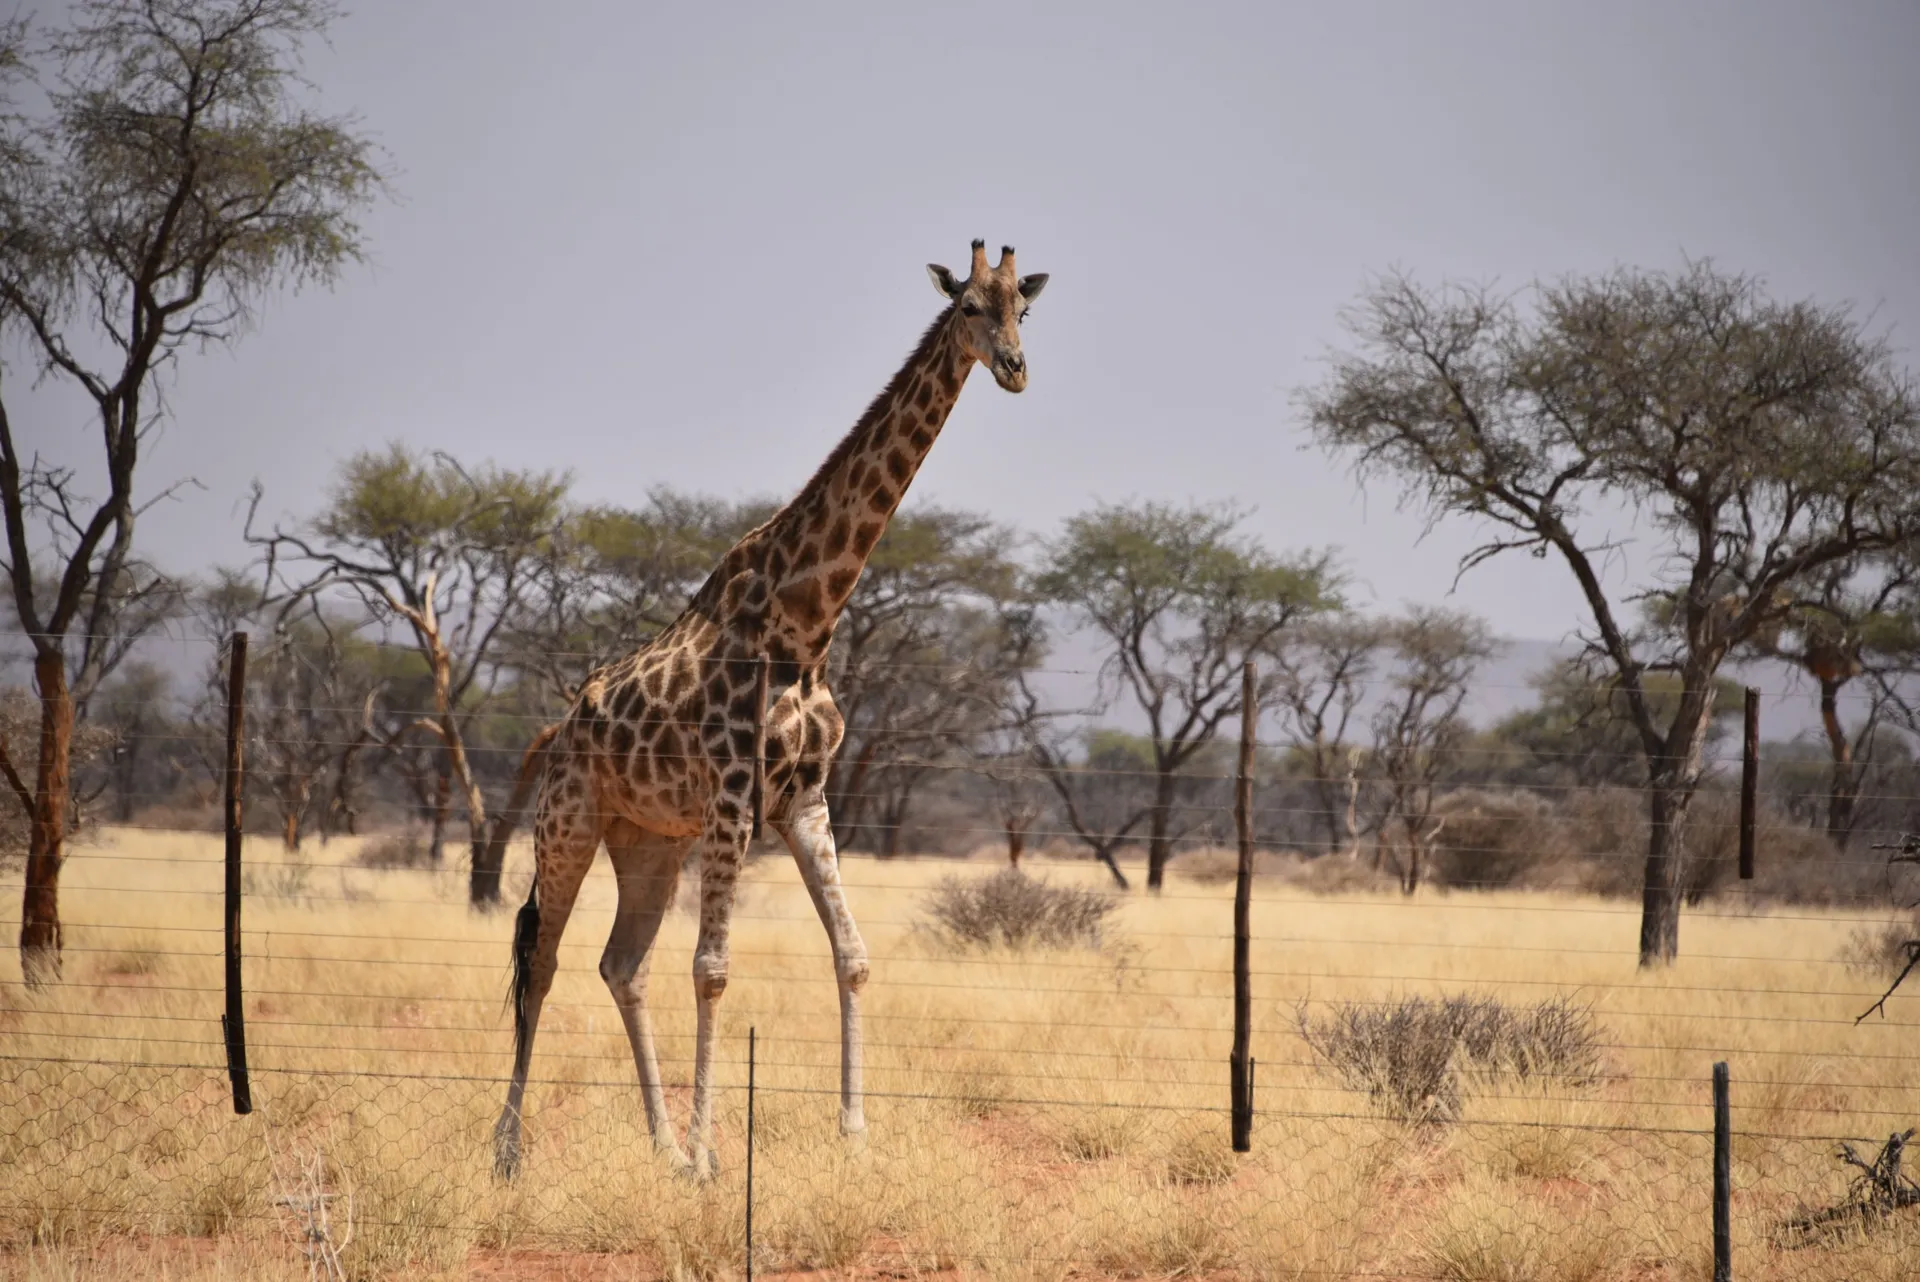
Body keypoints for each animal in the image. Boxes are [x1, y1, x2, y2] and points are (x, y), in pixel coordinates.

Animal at [493, 240, 1049, 1181]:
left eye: (1027, 309)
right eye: (969, 307)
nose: (1014, 369)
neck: (809, 620)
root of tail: (558, 729)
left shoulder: (804, 798)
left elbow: (853, 956)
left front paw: (853, 1135)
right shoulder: (732, 796)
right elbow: (714, 968)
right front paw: (711, 1160)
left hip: (648, 840)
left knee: (621, 964)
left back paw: (657, 1142)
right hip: (569, 821)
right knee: (544, 956)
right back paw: (509, 1152)